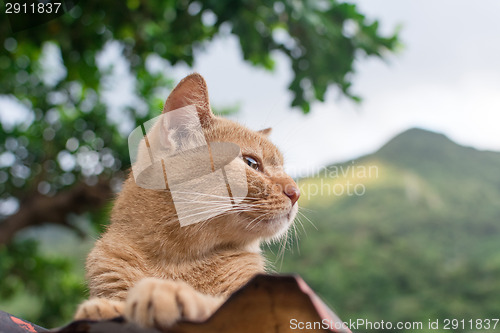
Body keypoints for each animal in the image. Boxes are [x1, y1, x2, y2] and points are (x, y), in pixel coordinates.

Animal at [73, 73, 300, 330]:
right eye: (252, 163)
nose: (296, 192)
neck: (178, 260)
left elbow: (219, 305)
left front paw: (169, 293)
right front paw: (104, 307)